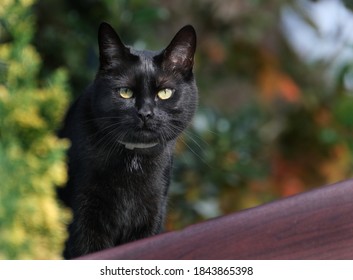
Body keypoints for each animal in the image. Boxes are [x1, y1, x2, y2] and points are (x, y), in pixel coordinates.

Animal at [59, 23, 198, 260]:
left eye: (165, 92)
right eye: (125, 92)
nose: (145, 113)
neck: (134, 159)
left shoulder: (153, 212)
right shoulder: (83, 211)